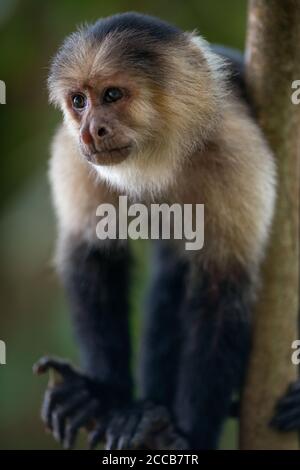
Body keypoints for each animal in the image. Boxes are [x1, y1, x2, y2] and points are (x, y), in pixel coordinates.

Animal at [32, 12, 296, 450]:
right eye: (79, 101)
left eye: (113, 95)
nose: (90, 130)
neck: (163, 157)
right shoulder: (75, 154)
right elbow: (93, 256)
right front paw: (103, 393)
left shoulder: (236, 153)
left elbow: (221, 292)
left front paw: (188, 436)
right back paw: (147, 414)